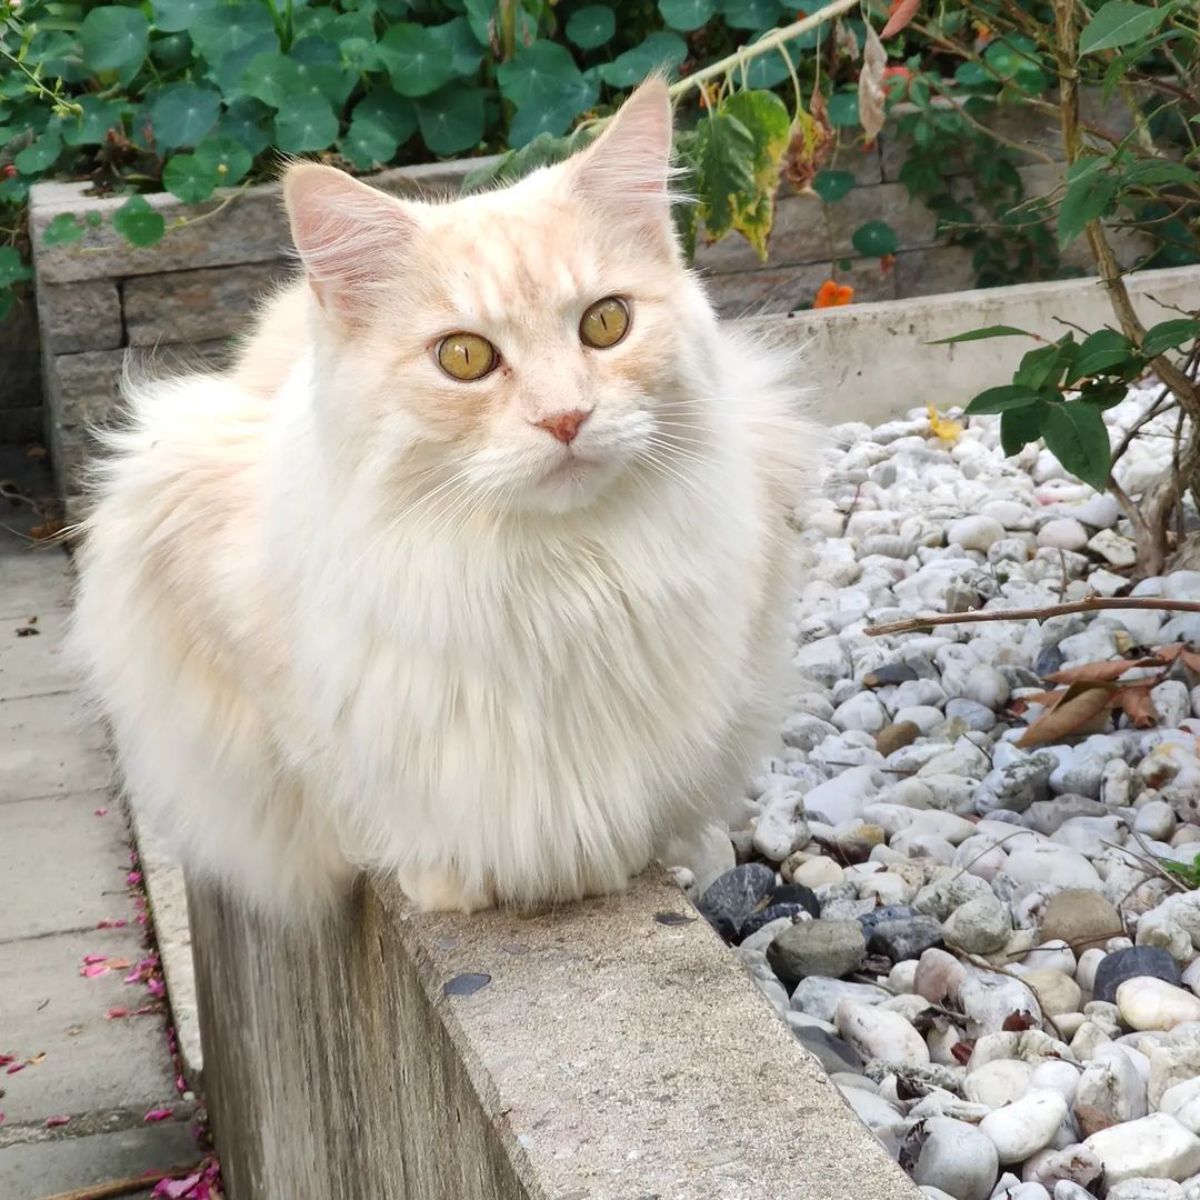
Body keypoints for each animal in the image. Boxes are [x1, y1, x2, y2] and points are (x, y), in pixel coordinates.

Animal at [72, 79, 816, 912]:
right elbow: (358, 787)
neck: (556, 578)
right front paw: (450, 882)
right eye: (463, 357)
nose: (566, 418)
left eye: (606, 322)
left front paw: (608, 864)